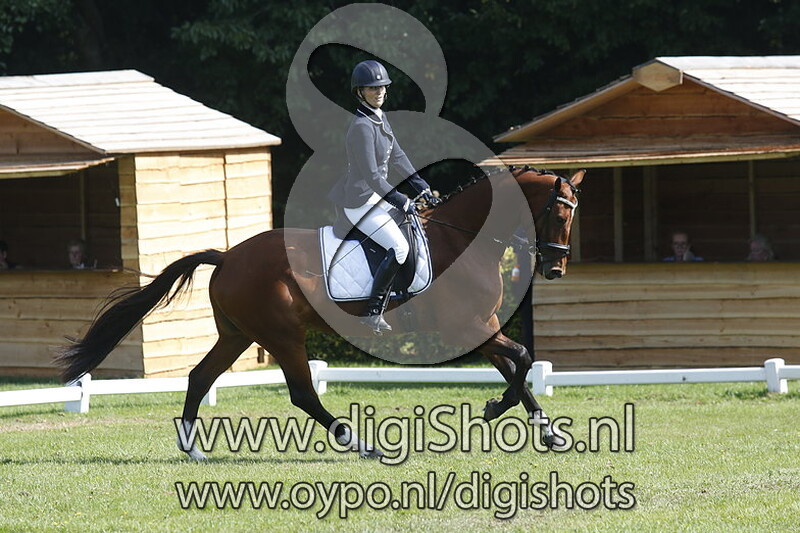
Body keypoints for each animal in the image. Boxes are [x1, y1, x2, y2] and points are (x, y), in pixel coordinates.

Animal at [56, 166, 584, 460]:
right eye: (561, 213)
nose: (556, 267)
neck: (462, 238)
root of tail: (228, 257)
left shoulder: (483, 326)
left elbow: (518, 367)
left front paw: (550, 434)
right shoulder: (467, 327)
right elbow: (521, 358)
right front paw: (497, 408)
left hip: (238, 335)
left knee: (200, 376)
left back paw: (193, 450)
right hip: (282, 334)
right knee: (303, 395)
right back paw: (366, 446)